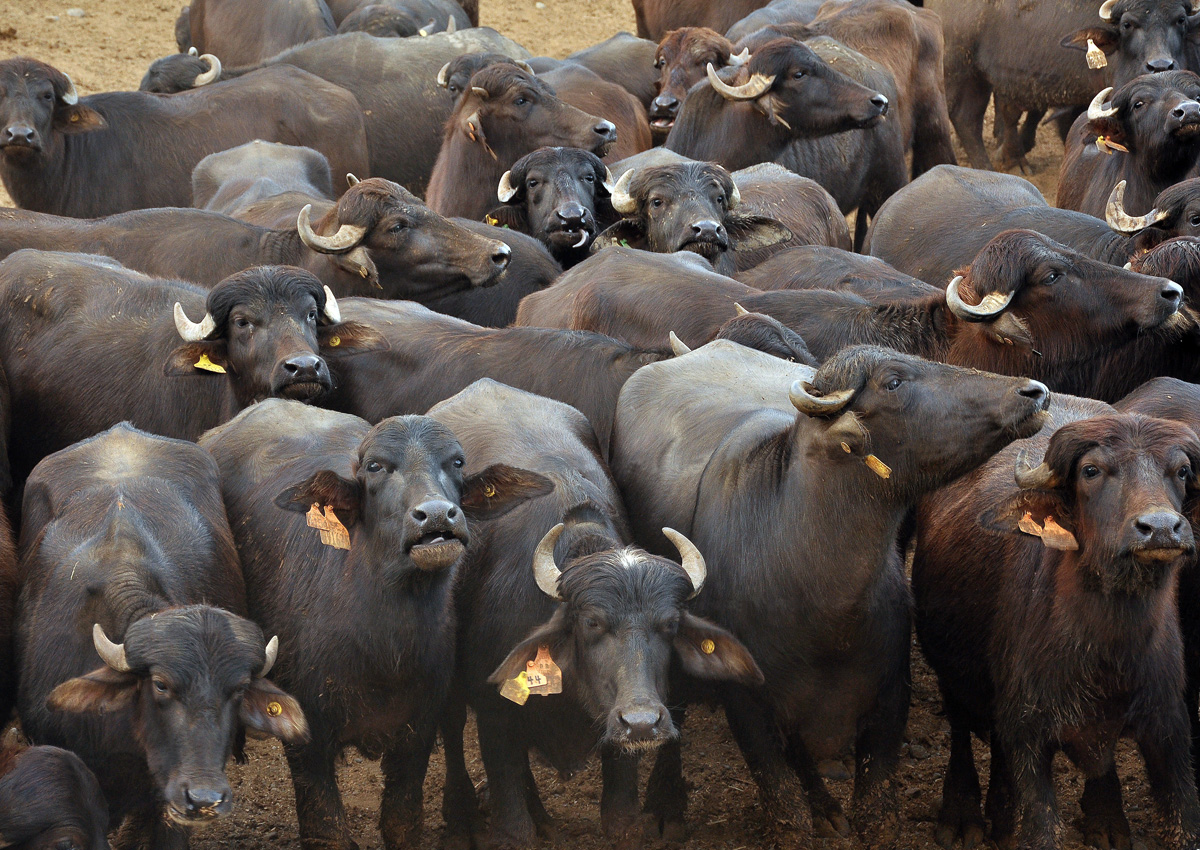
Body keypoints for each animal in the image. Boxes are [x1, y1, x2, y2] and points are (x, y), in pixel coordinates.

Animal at [199, 399, 552, 850]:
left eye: (456, 462)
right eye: (376, 466)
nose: (436, 516)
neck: (384, 650)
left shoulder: (417, 731)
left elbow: (402, 822)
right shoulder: (307, 740)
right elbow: (327, 830)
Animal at [429, 379, 762, 850]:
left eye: (670, 624)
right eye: (591, 623)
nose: (642, 722)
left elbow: (620, 818)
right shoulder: (495, 715)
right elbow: (514, 827)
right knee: (453, 728)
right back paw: (462, 818)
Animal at [607, 341, 1052, 846]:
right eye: (893, 381)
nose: (1033, 391)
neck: (824, 607)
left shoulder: (889, 699)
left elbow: (875, 807)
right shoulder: (748, 708)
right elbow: (784, 803)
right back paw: (666, 806)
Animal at [914, 411, 1200, 850]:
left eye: (1182, 470)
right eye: (1090, 470)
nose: (1162, 528)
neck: (1108, 652)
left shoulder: (1169, 727)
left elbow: (1183, 823)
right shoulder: (1028, 734)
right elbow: (1039, 828)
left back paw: (1101, 819)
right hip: (951, 672)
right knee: (961, 730)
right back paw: (963, 817)